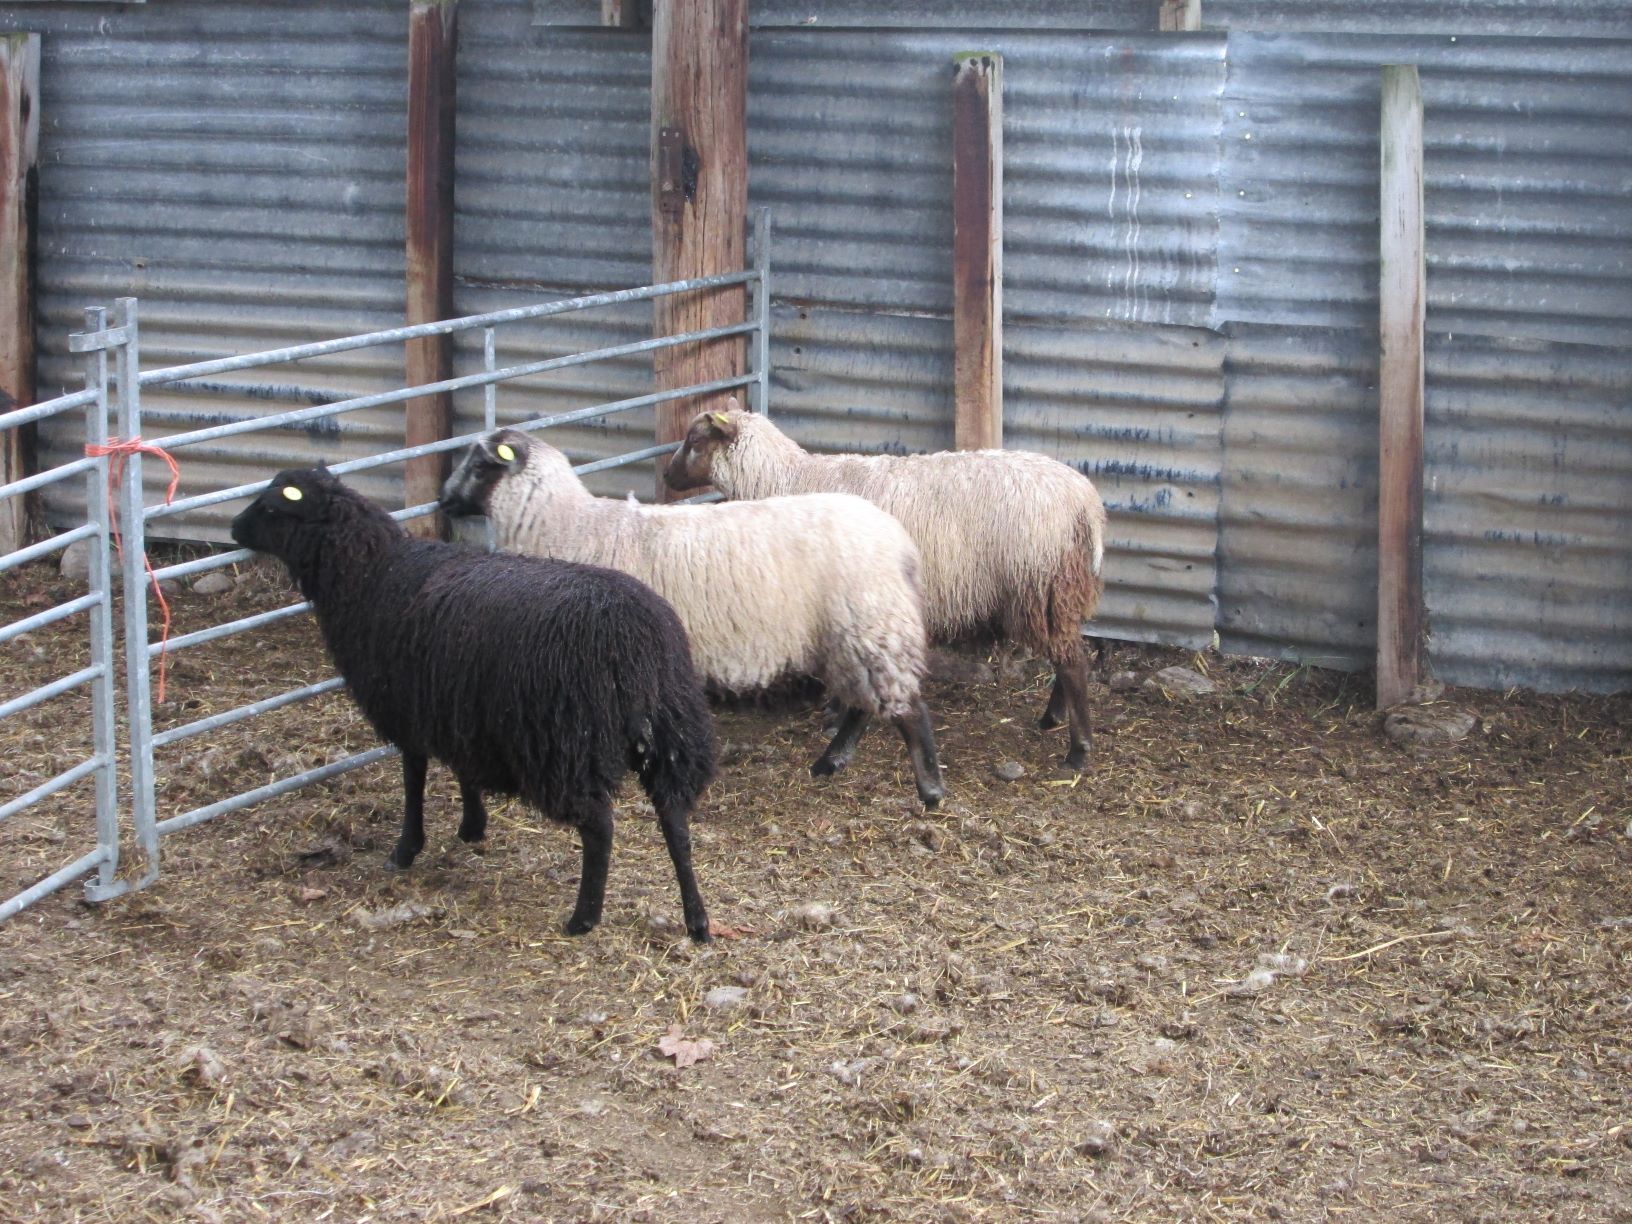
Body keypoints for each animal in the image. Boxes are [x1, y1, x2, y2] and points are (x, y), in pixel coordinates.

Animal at [229, 466, 715, 942]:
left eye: (272, 507)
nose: (233, 528)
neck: (372, 575)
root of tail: (635, 643)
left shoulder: (408, 711)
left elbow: (413, 779)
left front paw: (406, 849)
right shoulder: (460, 708)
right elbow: (465, 770)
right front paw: (472, 827)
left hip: (568, 743)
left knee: (600, 827)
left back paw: (584, 918)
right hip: (670, 731)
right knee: (674, 819)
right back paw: (697, 921)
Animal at [439, 429, 945, 809]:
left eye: (480, 465)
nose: (442, 501)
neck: (570, 527)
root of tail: (898, 542)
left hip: (871, 623)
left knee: (907, 709)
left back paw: (930, 789)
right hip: (852, 633)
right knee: (866, 704)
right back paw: (831, 762)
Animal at [665, 405, 1107, 769]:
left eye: (695, 441)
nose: (667, 477)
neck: (788, 480)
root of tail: (1086, 501)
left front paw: (838, 733)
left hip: (1038, 582)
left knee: (1072, 661)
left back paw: (1078, 751)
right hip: (1061, 589)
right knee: (1069, 652)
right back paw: (1052, 718)